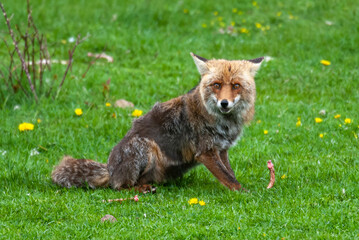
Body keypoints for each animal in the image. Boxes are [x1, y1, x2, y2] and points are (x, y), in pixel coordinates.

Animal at [52, 53, 262, 192]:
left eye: (236, 86)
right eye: (217, 85)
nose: (224, 103)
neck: (224, 123)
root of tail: (110, 169)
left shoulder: (222, 149)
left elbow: (230, 174)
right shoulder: (206, 151)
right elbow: (229, 178)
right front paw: (244, 194)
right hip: (146, 147)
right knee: (119, 186)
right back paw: (140, 190)